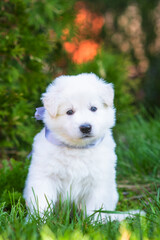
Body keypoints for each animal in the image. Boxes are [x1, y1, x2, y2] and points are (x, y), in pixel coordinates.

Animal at [23, 73, 138, 221]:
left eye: (93, 108)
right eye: (69, 111)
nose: (85, 127)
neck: (77, 148)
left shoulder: (98, 182)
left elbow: (95, 209)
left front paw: (94, 225)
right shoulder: (45, 177)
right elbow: (41, 203)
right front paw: (38, 222)